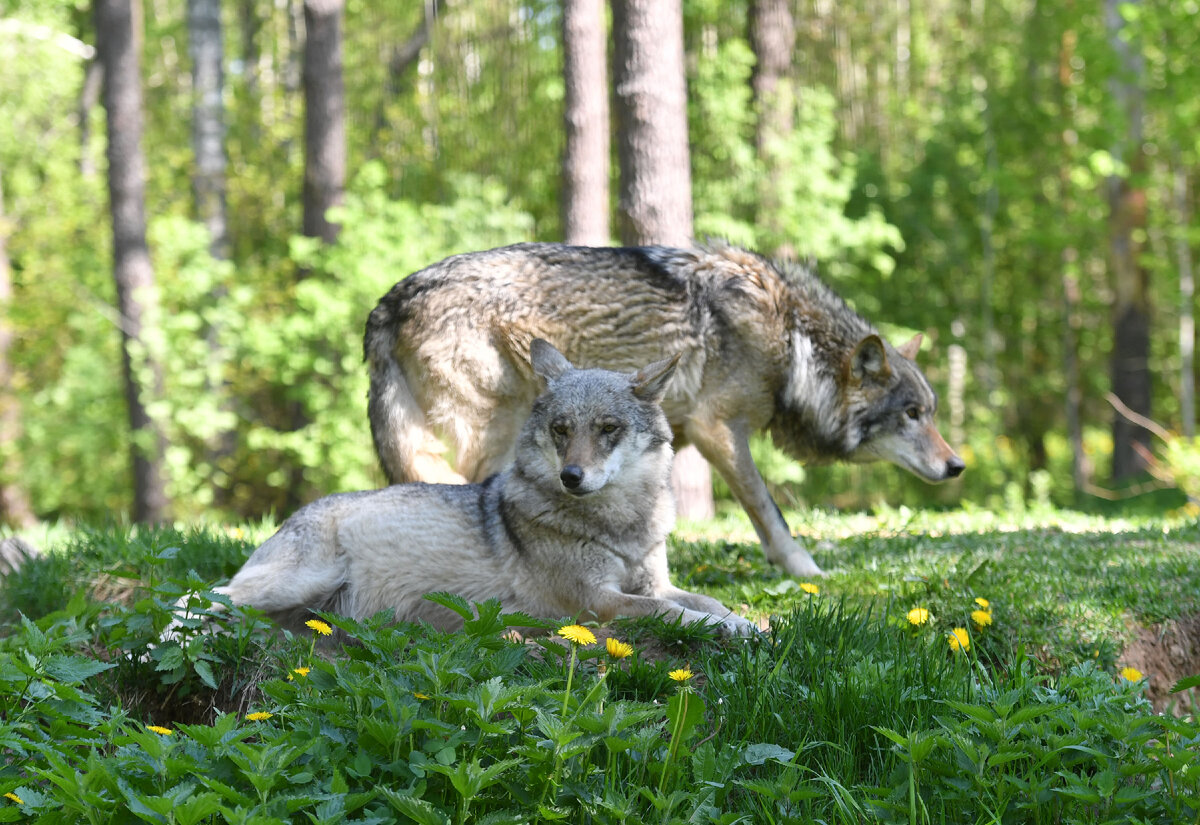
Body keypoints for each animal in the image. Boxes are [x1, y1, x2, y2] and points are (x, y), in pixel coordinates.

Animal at [211, 340, 753, 637]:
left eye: (607, 429)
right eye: (561, 429)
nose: (571, 477)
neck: (622, 526)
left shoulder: (655, 582)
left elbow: (707, 602)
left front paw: (751, 622)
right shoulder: (597, 602)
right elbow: (673, 612)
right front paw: (730, 628)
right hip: (297, 580)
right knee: (208, 594)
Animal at [364, 242, 964, 577]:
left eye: (931, 412)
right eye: (912, 414)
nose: (957, 466)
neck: (793, 340)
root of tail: (388, 301)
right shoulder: (716, 428)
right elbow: (769, 510)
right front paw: (805, 569)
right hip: (496, 432)